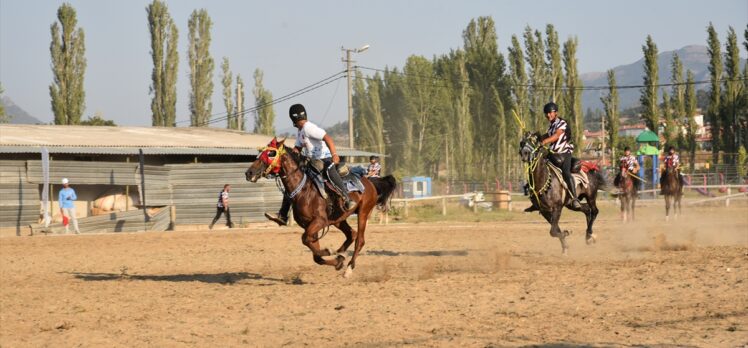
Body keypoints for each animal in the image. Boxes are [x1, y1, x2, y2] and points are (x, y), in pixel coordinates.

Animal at [245, 138, 398, 278]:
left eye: (271, 153)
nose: (249, 173)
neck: (305, 191)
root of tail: (371, 182)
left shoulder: (319, 222)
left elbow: (305, 240)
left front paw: (330, 252)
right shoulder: (310, 226)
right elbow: (315, 255)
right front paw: (336, 260)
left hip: (363, 213)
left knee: (359, 240)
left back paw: (348, 268)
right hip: (338, 220)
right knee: (351, 234)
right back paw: (340, 254)